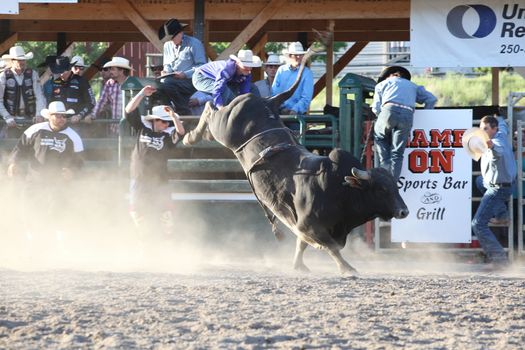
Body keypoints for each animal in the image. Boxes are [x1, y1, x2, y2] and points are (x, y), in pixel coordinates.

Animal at [182, 47, 408, 276]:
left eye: (395, 187)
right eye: (381, 189)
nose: (404, 211)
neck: (337, 185)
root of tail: (267, 101)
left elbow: (302, 244)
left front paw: (298, 265)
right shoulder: (309, 225)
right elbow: (330, 247)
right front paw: (347, 268)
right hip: (223, 126)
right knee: (210, 108)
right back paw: (190, 135)